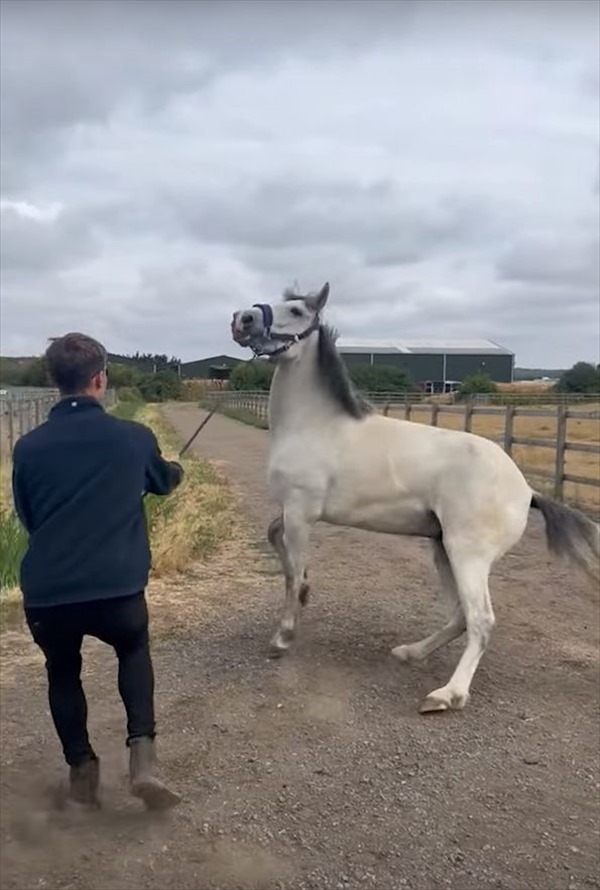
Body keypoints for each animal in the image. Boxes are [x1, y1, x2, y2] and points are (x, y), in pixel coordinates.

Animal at [231, 284, 600, 716]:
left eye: (296, 310)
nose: (242, 319)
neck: (314, 427)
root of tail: (527, 491)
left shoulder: (301, 513)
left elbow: (293, 571)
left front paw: (283, 637)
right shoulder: (291, 513)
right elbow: (278, 546)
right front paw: (303, 599)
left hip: (467, 554)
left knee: (481, 620)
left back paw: (447, 695)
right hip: (442, 549)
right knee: (459, 617)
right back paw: (410, 653)